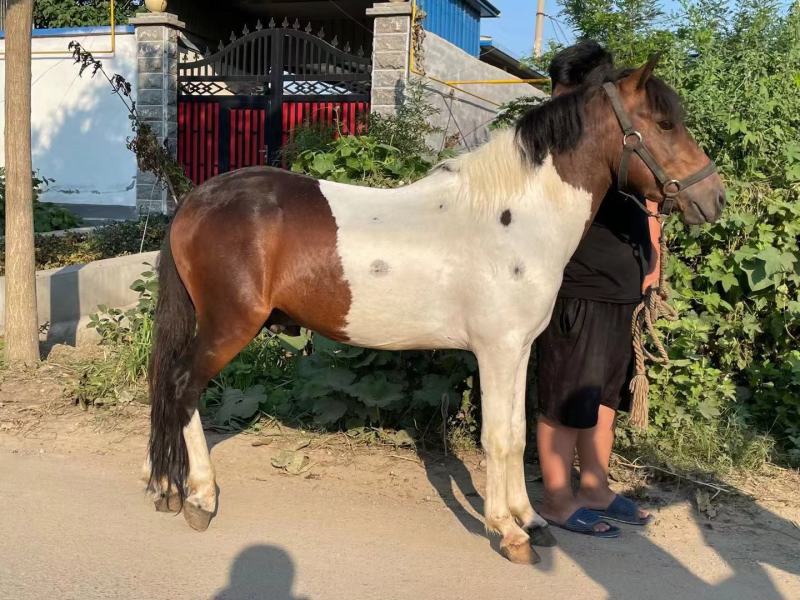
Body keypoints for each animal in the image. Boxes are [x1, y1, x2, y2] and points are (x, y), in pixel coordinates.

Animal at [145, 55, 725, 565]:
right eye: (665, 123)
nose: (714, 199)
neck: (512, 216)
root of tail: (198, 199)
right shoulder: (496, 351)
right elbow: (498, 438)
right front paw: (507, 533)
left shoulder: (518, 351)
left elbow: (517, 433)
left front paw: (531, 520)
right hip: (229, 327)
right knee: (183, 388)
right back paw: (199, 497)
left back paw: (167, 488)